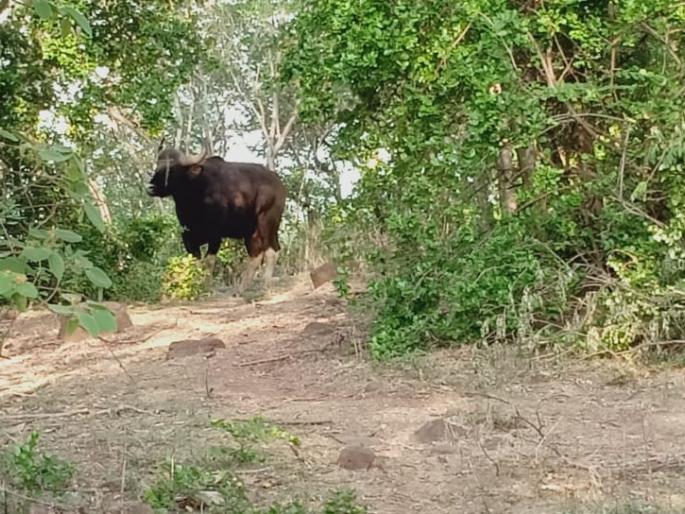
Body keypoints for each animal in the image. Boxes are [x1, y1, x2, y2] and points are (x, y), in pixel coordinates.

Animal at [146, 146, 286, 293]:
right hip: (251, 233)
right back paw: (242, 288)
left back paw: (266, 285)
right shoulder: (187, 236)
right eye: (157, 165)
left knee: (272, 251)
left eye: (172, 168)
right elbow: (196, 262)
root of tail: (278, 184)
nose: (150, 187)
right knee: (256, 255)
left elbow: (209, 262)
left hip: (267, 223)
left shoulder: (215, 236)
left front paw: (207, 288)